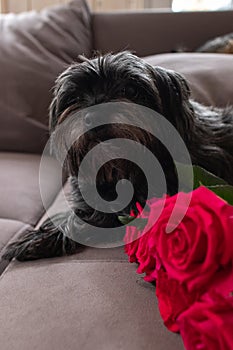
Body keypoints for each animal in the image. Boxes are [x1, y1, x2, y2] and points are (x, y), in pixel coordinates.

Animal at [3, 51, 233, 260]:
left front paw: (36, 238)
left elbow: (87, 216)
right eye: (75, 97)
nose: (96, 115)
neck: (118, 167)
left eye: (130, 89)